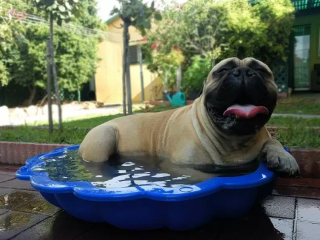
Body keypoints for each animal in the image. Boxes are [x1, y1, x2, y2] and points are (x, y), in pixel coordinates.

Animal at [80, 57, 300, 179]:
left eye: (262, 70)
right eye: (222, 70)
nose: (244, 71)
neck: (234, 141)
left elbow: (274, 142)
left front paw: (284, 157)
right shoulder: (184, 167)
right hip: (104, 137)